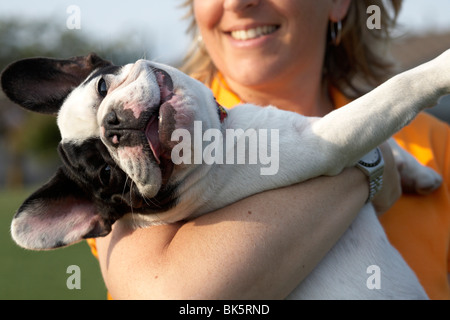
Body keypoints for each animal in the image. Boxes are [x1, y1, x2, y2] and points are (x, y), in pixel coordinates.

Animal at [0, 50, 450, 300]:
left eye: (102, 87)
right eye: (108, 175)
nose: (113, 125)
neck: (218, 137)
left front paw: (419, 173)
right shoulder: (323, 138)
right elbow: (391, 93)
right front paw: (441, 68)